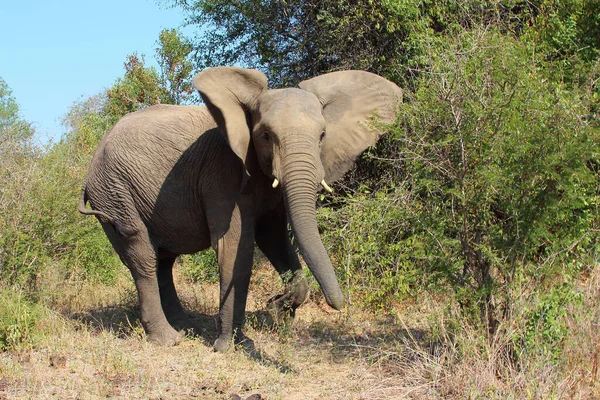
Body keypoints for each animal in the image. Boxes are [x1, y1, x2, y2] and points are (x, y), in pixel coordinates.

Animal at [77, 65, 400, 350]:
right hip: (114, 193)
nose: (338, 305)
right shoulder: (223, 173)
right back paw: (169, 340)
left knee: (163, 262)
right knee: (142, 256)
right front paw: (229, 346)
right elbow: (235, 250)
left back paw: (187, 328)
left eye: (322, 135)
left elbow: (275, 240)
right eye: (266, 136)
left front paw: (280, 309)